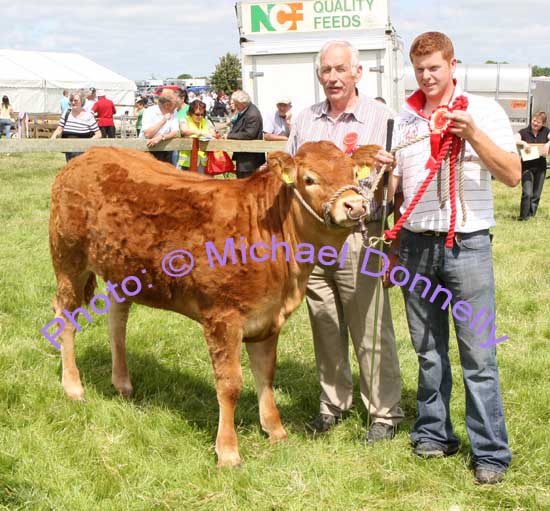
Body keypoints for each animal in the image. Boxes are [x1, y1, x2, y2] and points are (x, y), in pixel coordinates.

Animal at [47, 141, 366, 468]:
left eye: (355, 173)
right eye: (309, 179)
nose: (355, 205)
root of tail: (88, 155)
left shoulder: (268, 318)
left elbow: (266, 374)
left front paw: (276, 430)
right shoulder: (223, 317)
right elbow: (230, 384)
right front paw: (227, 451)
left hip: (122, 270)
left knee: (116, 319)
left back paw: (122, 383)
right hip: (68, 260)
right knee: (65, 316)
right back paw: (73, 386)